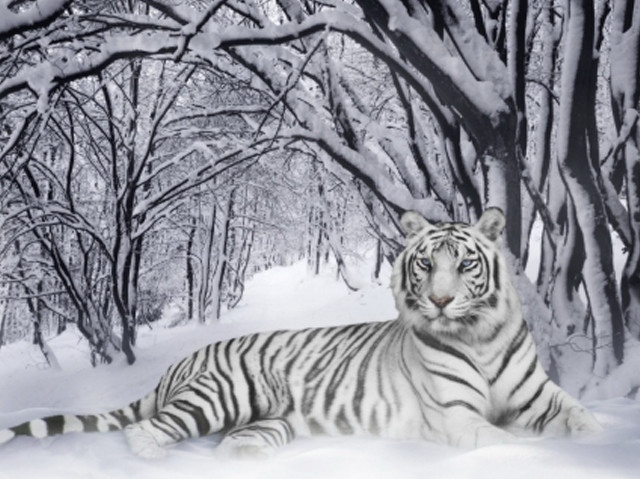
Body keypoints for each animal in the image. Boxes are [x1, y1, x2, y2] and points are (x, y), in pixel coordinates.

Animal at [0, 208, 602, 458]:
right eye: (426, 265)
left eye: (465, 264)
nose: (439, 300)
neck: (479, 336)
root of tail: (182, 362)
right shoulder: (458, 417)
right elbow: (506, 442)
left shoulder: (540, 397)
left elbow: (582, 419)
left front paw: (598, 444)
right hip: (221, 395)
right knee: (147, 431)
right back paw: (155, 459)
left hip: (269, 422)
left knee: (233, 443)